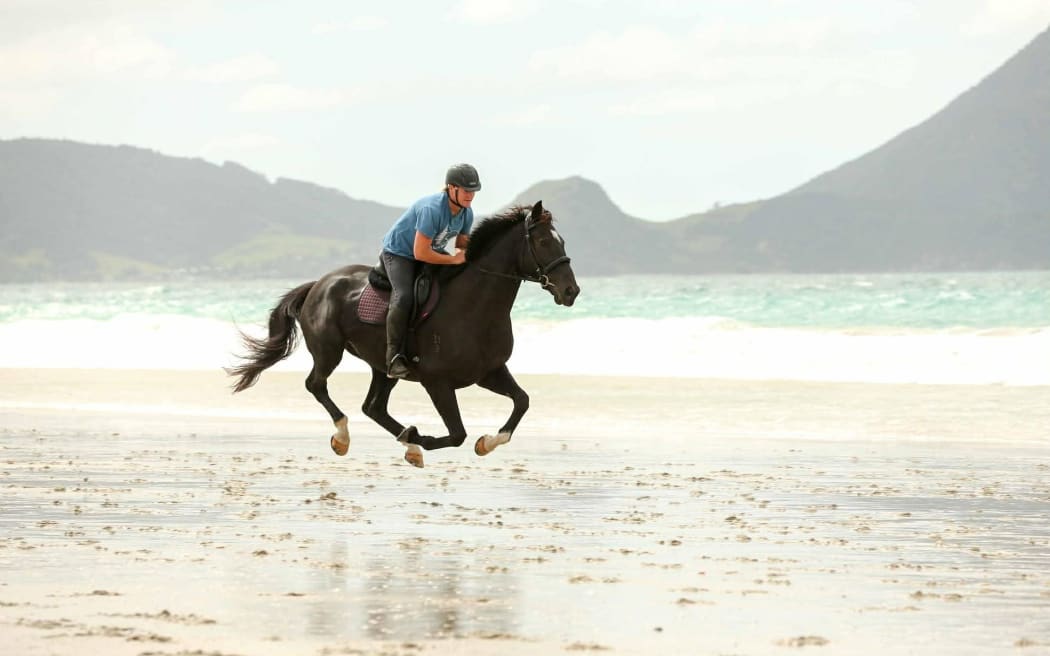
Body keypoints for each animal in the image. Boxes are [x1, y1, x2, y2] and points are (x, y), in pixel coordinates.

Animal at [226, 201, 580, 467]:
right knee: (317, 385)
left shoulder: (489, 372)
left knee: (373, 407)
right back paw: (346, 437)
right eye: (544, 242)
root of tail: (318, 284)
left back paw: (405, 443)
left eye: (562, 242)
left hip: (382, 366)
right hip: (329, 351)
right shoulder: (437, 382)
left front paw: (485, 443)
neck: (475, 308)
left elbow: (522, 401)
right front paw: (418, 437)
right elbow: (457, 434)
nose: (571, 291)